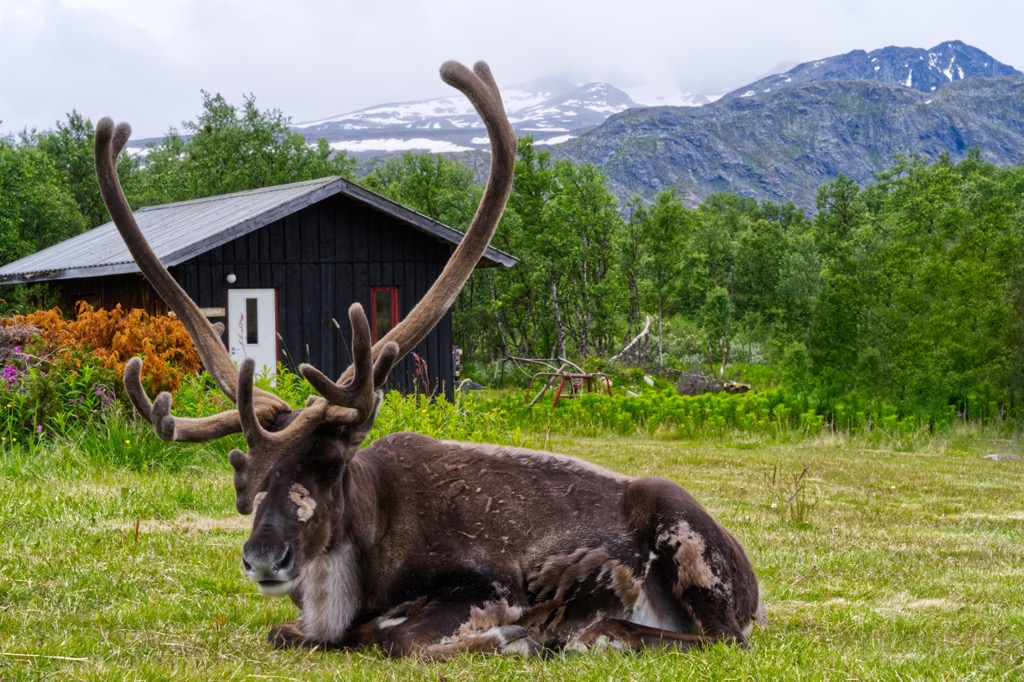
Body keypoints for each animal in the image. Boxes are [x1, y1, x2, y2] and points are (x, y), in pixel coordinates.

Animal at [94, 60, 763, 659]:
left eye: (330, 466)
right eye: (247, 475)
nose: (263, 558)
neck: (364, 552)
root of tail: (756, 590)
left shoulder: (489, 584)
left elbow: (396, 639)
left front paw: (510, 638)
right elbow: (291, 632)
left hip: (685, 537)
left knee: (718, 638)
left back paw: (593, 636)